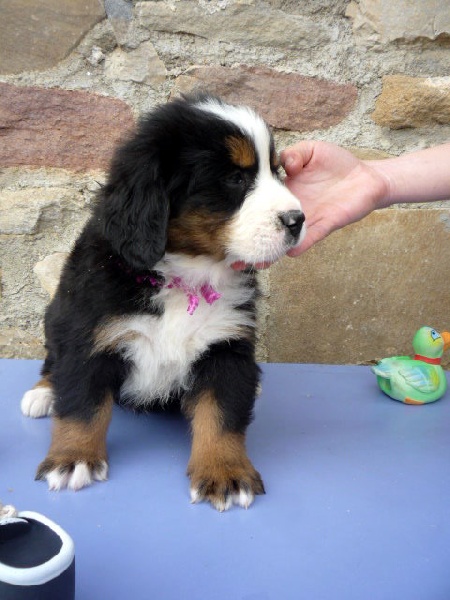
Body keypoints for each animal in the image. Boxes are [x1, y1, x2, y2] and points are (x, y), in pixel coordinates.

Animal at [21, 94, 305, 511]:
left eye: (278, 172)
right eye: (235, 179)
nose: (298, 220)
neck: (186, 277)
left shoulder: (226, 346)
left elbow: (221, 415)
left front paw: (225, 472)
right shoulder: (88, 334)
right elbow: (81, 405)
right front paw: (73, 459)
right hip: (56, 314)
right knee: (53, 363)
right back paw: (42, 392)